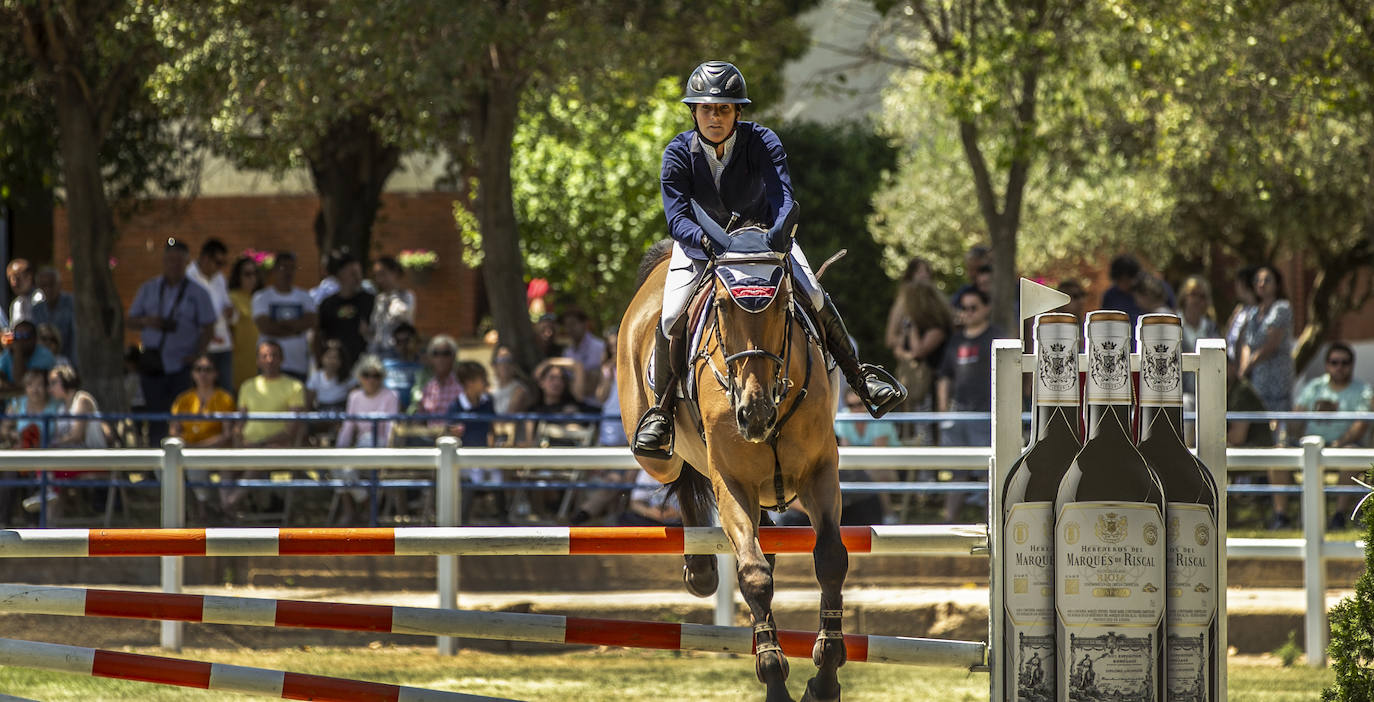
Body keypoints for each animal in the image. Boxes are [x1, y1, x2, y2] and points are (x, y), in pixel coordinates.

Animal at [621, 206, 846, 702]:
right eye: (722, 306)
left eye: (782, 304)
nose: (754, 414)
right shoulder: (732, 482)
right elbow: (754, 575)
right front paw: (774, 674)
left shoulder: (820, 473)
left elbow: (830, 561)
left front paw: (825, 675)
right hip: (656, 455)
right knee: (677, 475)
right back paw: (701, 571)